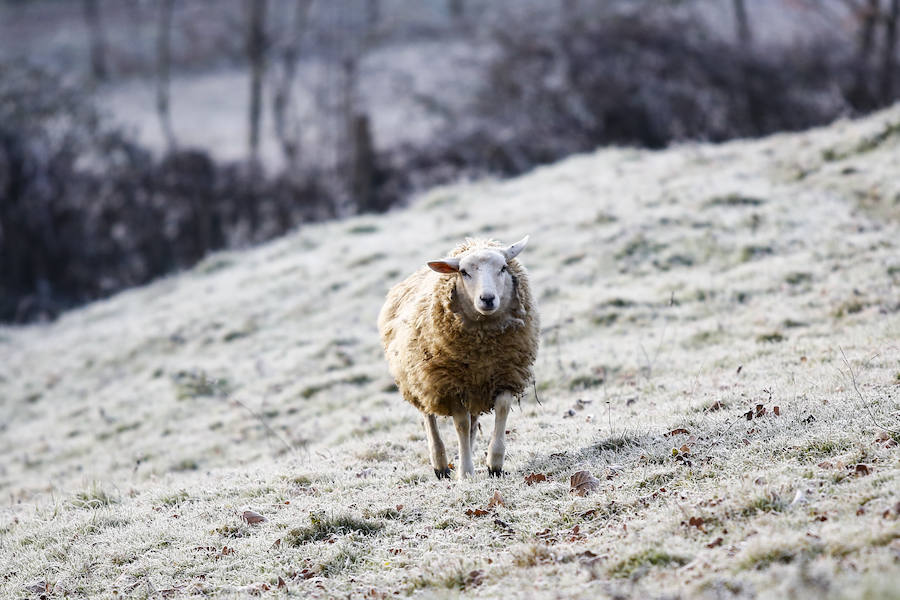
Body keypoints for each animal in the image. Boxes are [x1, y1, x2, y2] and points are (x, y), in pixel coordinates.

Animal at [376, 237, 536, 480]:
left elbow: (501, 409)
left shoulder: (506, 373)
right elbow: (460, 424)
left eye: (503, 268)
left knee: (472, 422)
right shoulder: (450, 384)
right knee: (429, 419)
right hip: (420, 380)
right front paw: (466, 472)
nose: (487, 299)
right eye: (464, 272)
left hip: (474, 388)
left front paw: (494, 464)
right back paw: (441, 465)